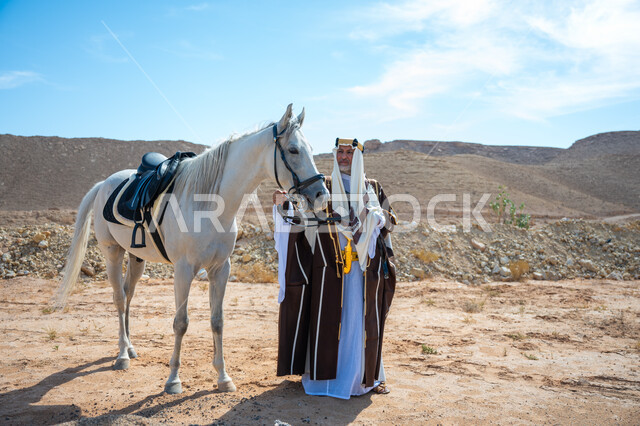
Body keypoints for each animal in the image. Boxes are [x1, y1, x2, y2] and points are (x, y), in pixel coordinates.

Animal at [54, 104, 328, 394]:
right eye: (293, 150)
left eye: (310, 148)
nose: (321, 195)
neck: (209, 205)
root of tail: (104, 184)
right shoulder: (184, 270)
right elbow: (181, 323)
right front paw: (173, 380)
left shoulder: (221, 269)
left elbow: (217, 321)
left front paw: (223, 377)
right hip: (112, 253)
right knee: (118, 299)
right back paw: (121, 356)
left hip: (136, 258)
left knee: (128, 295)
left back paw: (130, 347)